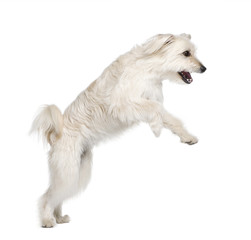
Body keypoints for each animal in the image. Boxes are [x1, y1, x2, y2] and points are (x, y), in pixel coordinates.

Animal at [30, 33, 206, 227]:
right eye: (186, 53)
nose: (204, 68)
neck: (149, 65)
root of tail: (55, 134)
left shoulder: (146, 101)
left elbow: (170, 119)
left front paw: (187, 137)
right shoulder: (123, 104)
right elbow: (155, 109)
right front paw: (156, 127)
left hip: (77, 174)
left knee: (57, 196)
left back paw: (59, 217)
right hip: (67, 172)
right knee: (47, 197)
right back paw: (47, 219)